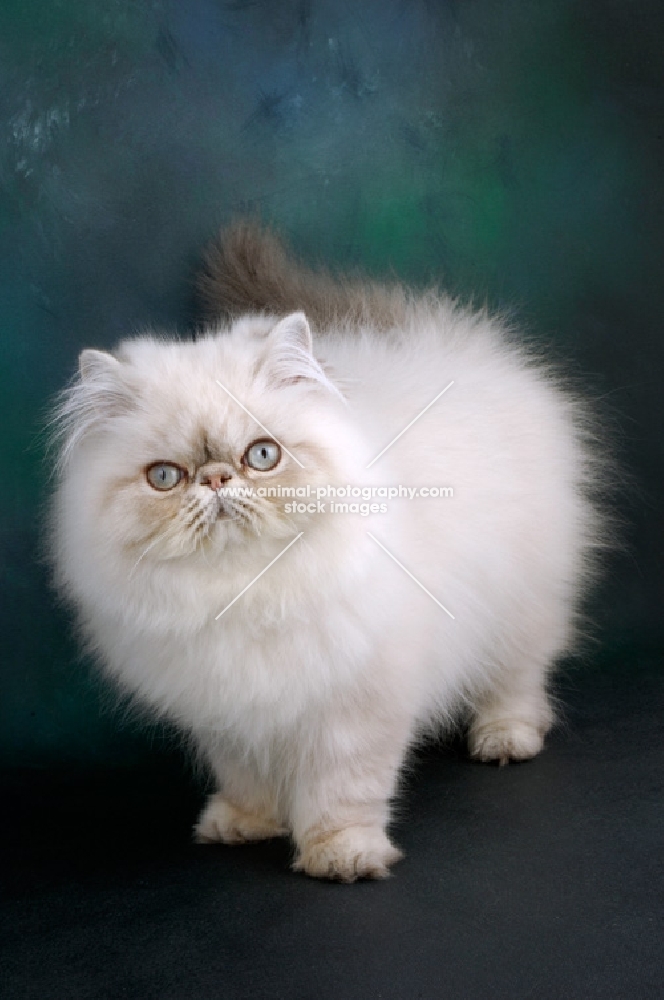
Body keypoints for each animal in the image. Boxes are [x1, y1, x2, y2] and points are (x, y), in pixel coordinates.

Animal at [49, 223, 604, 880]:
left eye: (262, 456)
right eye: (165, 477)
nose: (215, 480)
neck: (244, 592)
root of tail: (449, 339)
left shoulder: (356, 704)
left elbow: (342, 789)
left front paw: (341, 857)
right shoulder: (228, 710)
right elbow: (247, 778)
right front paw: (246, 826)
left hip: (520, 604)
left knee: (520, 678)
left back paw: (505, 739)